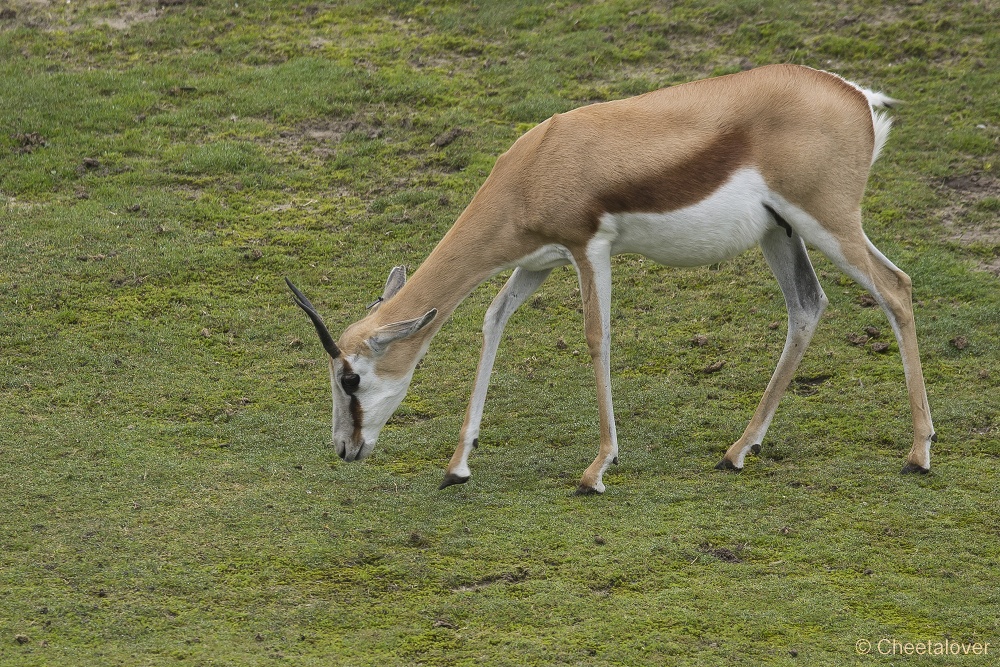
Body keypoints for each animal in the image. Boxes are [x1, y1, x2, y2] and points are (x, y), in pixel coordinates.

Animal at [288, 65, 936, 494]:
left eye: (349, 378)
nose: (344, 448)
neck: (536, 166)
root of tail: (856, 96)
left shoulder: (588, 249)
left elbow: (596, 339)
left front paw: (597, 469)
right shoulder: (536, 260)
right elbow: (493, 321)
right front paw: (457, 465)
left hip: (828, 221)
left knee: (896, 288)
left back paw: (918, 454)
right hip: (781, 231)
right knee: (807, 306)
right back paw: (737, 451)